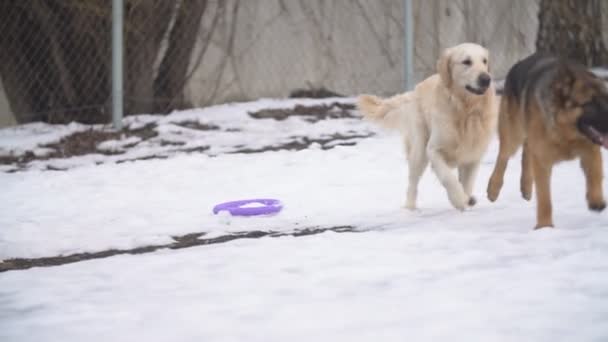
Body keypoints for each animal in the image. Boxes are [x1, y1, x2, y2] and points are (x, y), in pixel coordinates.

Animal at [358, 43, 496, 211]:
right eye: (466, 61)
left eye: (484, 61)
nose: (486, 79)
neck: (465, 110)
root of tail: (414, 90)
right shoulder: (433, 149)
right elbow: (447, 177)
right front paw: (458, 199)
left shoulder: (473, 154)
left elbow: (467, 183)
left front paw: (466, 198)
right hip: (419, 148)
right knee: (412, 182)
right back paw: (410, 207)